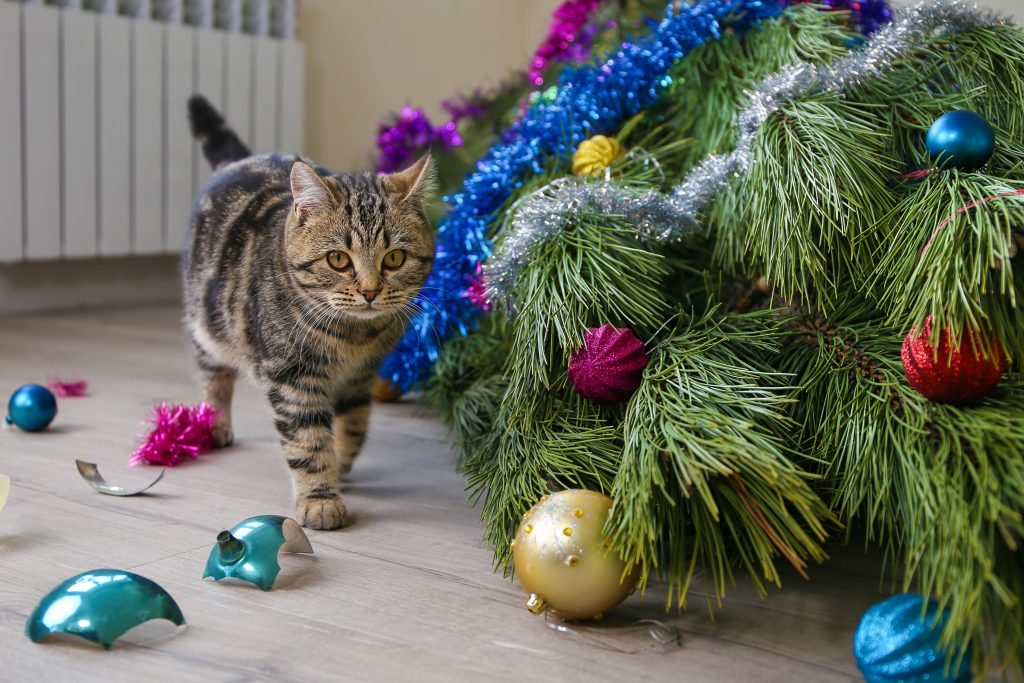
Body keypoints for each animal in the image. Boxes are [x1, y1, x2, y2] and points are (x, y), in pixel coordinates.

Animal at [184, 94, 432, 528]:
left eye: (394, 258)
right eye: (338, 259)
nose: (369, 291)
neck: (354, 337)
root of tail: (243, 160)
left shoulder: (361, 376)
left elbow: (353, 424)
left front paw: (341, 465)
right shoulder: (292, 378)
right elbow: (308, 441)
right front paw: (320, 499)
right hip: (208, 322)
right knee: (213, 375)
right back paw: (214, 422)